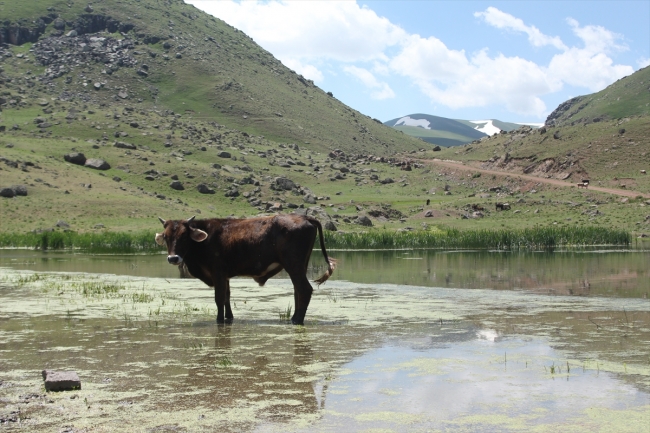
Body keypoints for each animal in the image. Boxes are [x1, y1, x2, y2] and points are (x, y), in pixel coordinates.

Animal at [153, 213, 334, 324]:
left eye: (184, 236)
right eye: (166, 237)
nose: (173, 258)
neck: (206, 239)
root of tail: (305, 216)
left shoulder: (218, 273)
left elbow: (219, 299)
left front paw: (219, 320)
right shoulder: (225, 276)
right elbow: (227, 297)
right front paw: (229, 318)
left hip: (293, 265)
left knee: (304, 289)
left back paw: (296, 320)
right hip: (300, 266)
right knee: (298, 291)